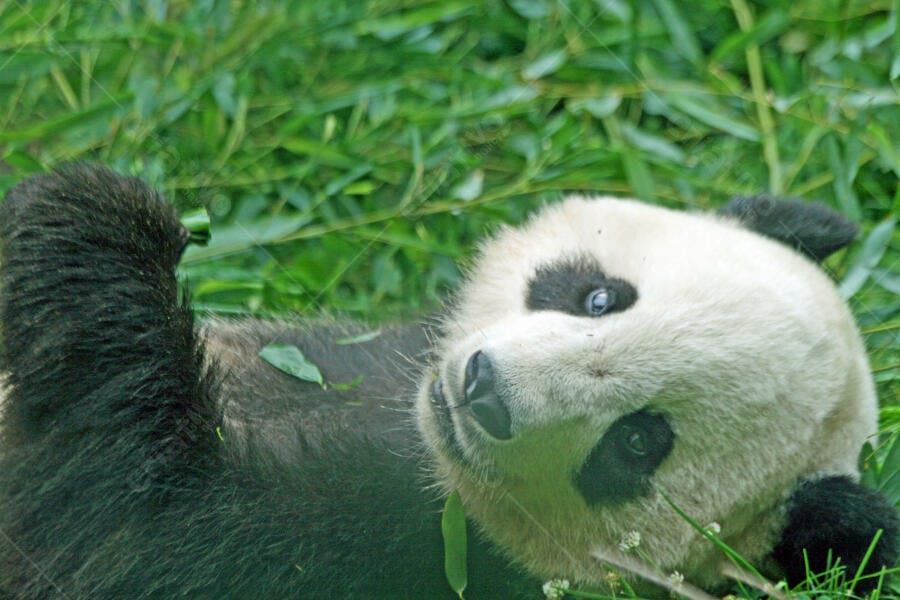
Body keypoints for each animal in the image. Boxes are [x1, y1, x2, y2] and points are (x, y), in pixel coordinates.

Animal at [0, 165, 895, 598]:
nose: (484, 388)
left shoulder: (371, 556)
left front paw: (96, 221)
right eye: (600, 297)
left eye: (639, 442)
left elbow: (135, 511)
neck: (415, 439)